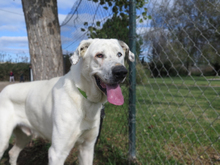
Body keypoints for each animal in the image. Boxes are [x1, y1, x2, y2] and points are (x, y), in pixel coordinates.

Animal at [0, 38, 134, 164]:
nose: (121, 72)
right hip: (3, 140)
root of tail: (4, 90)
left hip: (25, 136)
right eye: (99, 55)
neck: (83, 97)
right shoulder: (57, 153)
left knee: (12, 153)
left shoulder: (87, 148)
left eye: (119, 54)